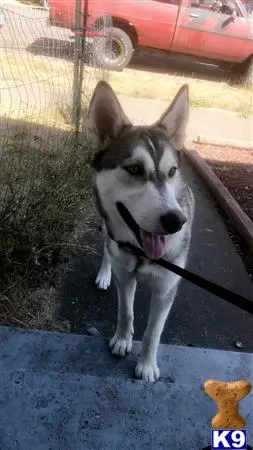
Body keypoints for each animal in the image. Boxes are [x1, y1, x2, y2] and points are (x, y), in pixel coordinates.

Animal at [88, 80, 195, 380]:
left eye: (171, 171)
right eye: (134, 169)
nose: (175, 221)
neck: (141, 255)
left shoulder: (166, 289)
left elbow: (153, 332)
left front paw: (147, 365)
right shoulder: (126, 276)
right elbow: (126, 312)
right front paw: (122, 340)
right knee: (106, 247)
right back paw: (104, 272)